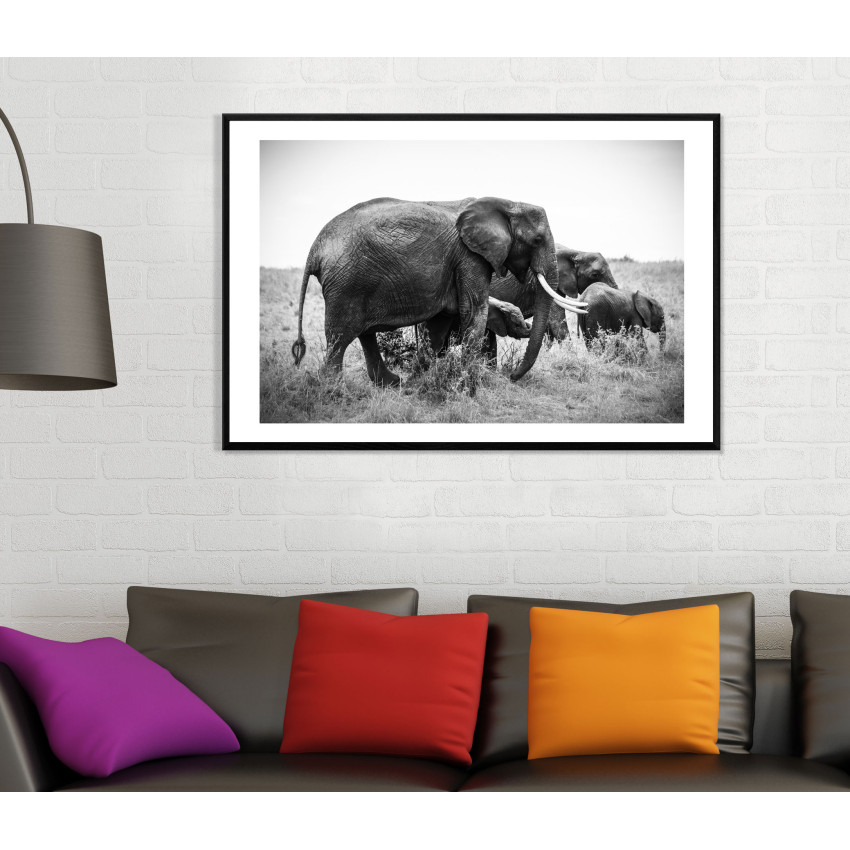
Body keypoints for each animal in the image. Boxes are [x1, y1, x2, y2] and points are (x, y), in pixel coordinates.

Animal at [291, 196, 587, 386]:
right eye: (537, 240)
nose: (511, 376)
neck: (506, 203)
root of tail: (314, 250)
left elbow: (440, 322)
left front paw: (425, 378)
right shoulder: (469, 257)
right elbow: (474, 310)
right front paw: (468, 381)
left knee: (363, 333)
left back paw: (393, 383)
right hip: (347, 283)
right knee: (341, 335)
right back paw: (334, 389)